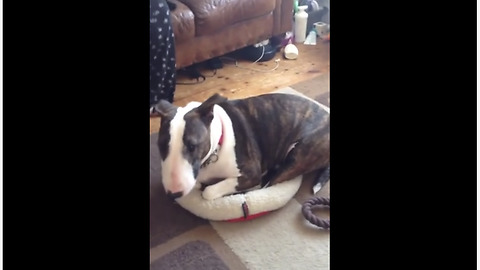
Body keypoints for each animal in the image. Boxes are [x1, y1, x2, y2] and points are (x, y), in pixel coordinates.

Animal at [154, 93, 330, 200]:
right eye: (160, 145)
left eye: (192, 146)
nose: (172, 194)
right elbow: (197, 184)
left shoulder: (250, 174)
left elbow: (209, 192)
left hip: (297, 156)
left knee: (269, 182)